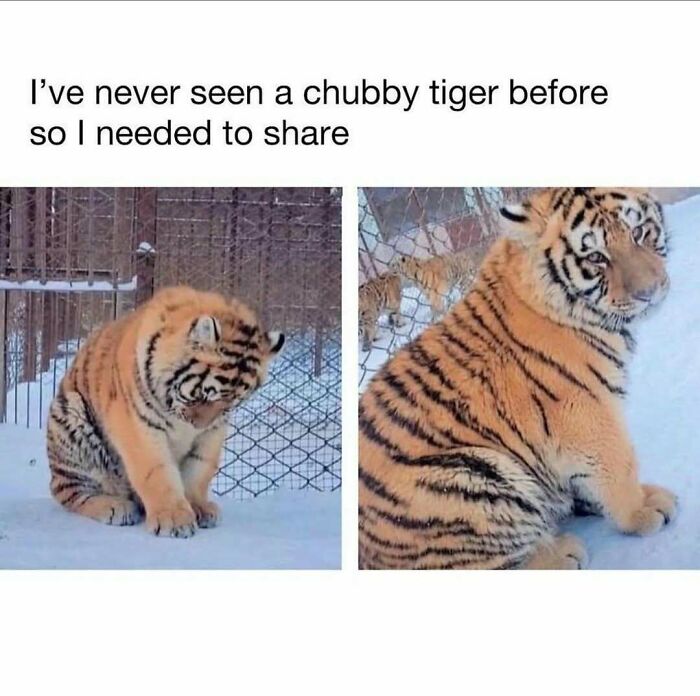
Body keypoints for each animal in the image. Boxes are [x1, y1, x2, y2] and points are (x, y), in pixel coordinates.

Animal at [47, 285, 284, 538]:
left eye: (230, 404)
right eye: (203, 395)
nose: (199, 426)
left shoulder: (213, 432)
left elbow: (199, 469)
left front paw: (199, 507)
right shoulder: (138, 425)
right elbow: (157, 471)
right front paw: (174, 519)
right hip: (72, 417)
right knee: (69, 491)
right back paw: (115, 506)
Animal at [358, 187, 676, 570]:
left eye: (639, 232)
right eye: (596, 257)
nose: (651, 292)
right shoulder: (584, 409)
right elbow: (619, 465)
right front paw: (641, 510)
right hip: (466, 477)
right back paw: (561, 553)